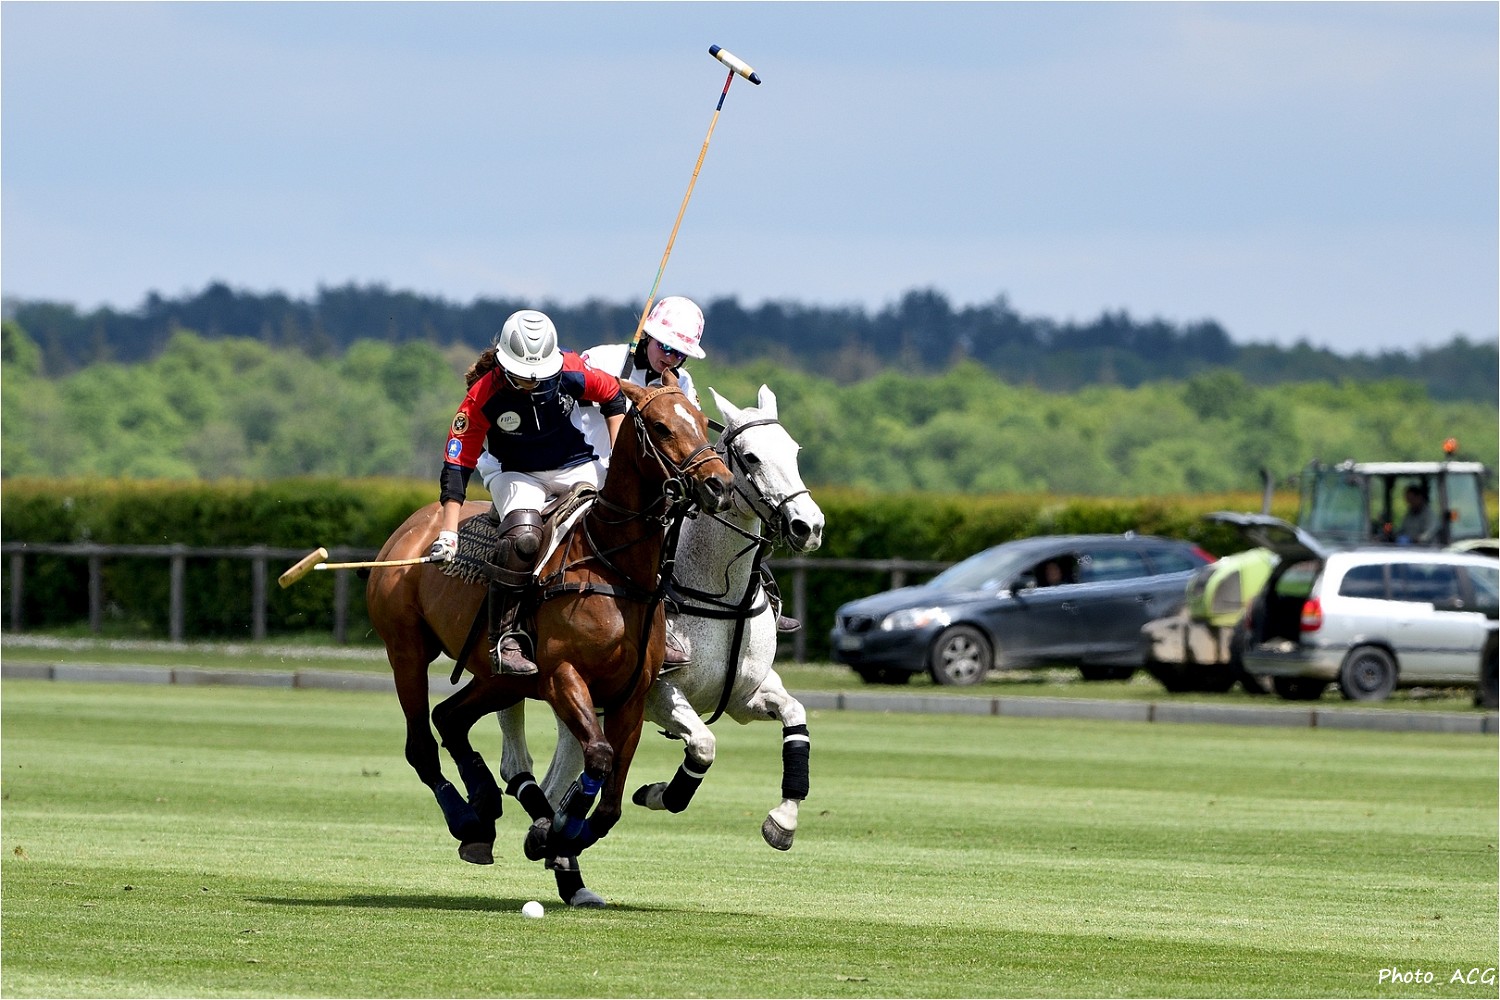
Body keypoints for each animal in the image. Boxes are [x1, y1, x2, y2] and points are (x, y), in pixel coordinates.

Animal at [364, 369, 733, 902]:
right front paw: (555, 833)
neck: (612, 566)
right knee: (422, 742)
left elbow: (612, 802)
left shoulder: (631, 695)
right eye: (662, 427)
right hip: (407, 650)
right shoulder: (564, 677)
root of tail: (413, 525)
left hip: (502, 677)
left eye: (703, 422)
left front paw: (558, 838)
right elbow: (597, 756)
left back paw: (487, 811)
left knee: (450, 717)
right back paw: (468, 820)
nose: (720, 485)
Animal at [496, 383, 825, 881]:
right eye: (750, 456)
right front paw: (656, 793)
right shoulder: (657, 693)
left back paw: (554, 834)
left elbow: (795, 716)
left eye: (794, 451)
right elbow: (703, 745)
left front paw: (782, 822)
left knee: (561, 773)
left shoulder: (746, 696)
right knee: (517, 752)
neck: (720, 593)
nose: (809, 527)